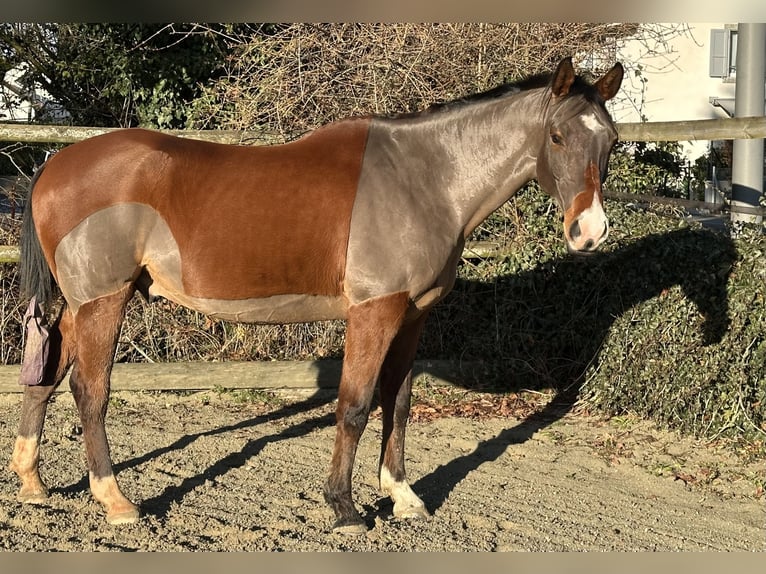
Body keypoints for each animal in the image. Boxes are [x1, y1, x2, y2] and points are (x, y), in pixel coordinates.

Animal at [9, 57, 624, 536]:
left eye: (612, 141)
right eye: (557, 137)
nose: (589, 232)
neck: (424, 180)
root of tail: (54, 166)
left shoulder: (413, 316)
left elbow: (398, 403)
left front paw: (403, 496)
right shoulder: (375, 312)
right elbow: (354, 405)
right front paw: (345, 508)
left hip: (83, 304)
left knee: (47, 374)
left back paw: (33, 483)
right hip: (104, 301)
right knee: (89, 390)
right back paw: (116, 501)